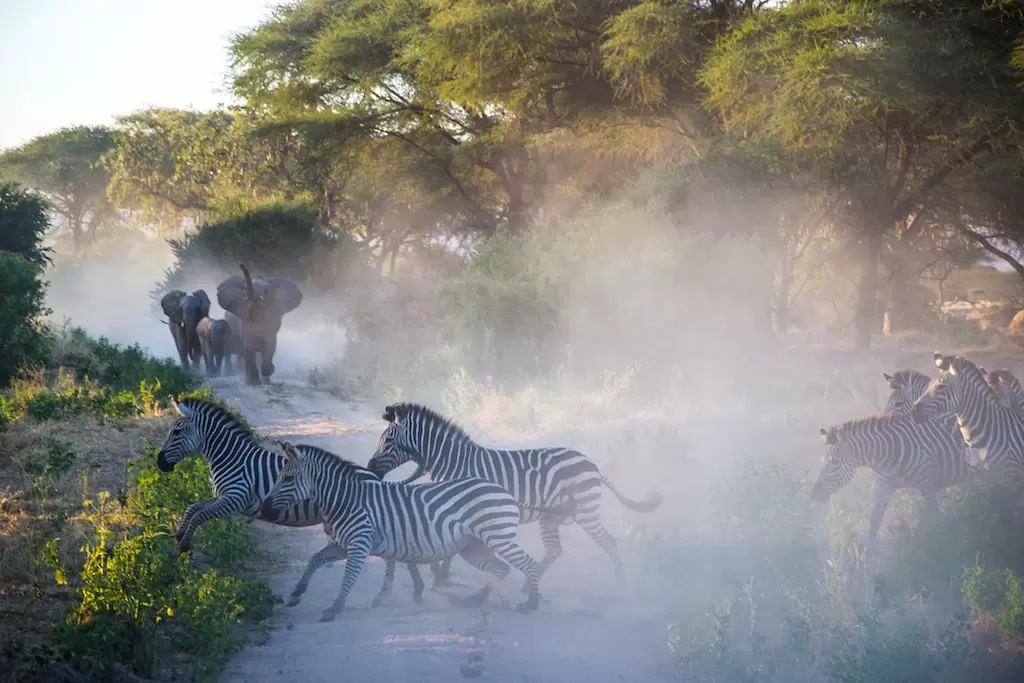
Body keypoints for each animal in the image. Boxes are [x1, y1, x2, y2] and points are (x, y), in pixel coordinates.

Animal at [155, 395, 432, 602]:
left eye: (176, 432)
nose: (160, 463)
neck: (232, 458)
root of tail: (374, 476)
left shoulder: (236, 499)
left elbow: (199, 514)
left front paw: (184, 545)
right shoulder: (224, 499)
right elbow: (192, 508)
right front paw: (180, 536)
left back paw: (390, 592)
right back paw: (414, 587)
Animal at [256, 440, 569, 622]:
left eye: (288, 478)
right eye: (280, 477)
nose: (264, 509)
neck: (347, 499)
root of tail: (503, 490)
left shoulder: (359, 545)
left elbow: (348, 579)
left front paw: (334, 609)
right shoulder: (344, 545)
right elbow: (314, 560)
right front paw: (296, 594)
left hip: (497, 536)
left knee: (526, 563)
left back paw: (529, 603)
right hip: (473, 546)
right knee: (500, 569)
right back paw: (497, 600)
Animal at [362, 403, 663, 589]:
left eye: (388, 440)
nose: (370, 468)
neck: (454, 463)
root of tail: (592, 464)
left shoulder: (459, 507)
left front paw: (441, 576)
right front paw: (440, 574)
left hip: (585, 512)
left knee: (608, 542)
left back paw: (620, 585)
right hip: (552, 517)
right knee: (555, 550)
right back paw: (529, 583)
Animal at [806, 411, 974, 561]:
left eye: (835, 463)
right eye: (822, 462)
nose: (813, 494)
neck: (886, 454)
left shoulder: (926, 483)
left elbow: (935, 514)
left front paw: (940, 540)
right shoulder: (884, 484)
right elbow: (874, 519)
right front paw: (867, 556)